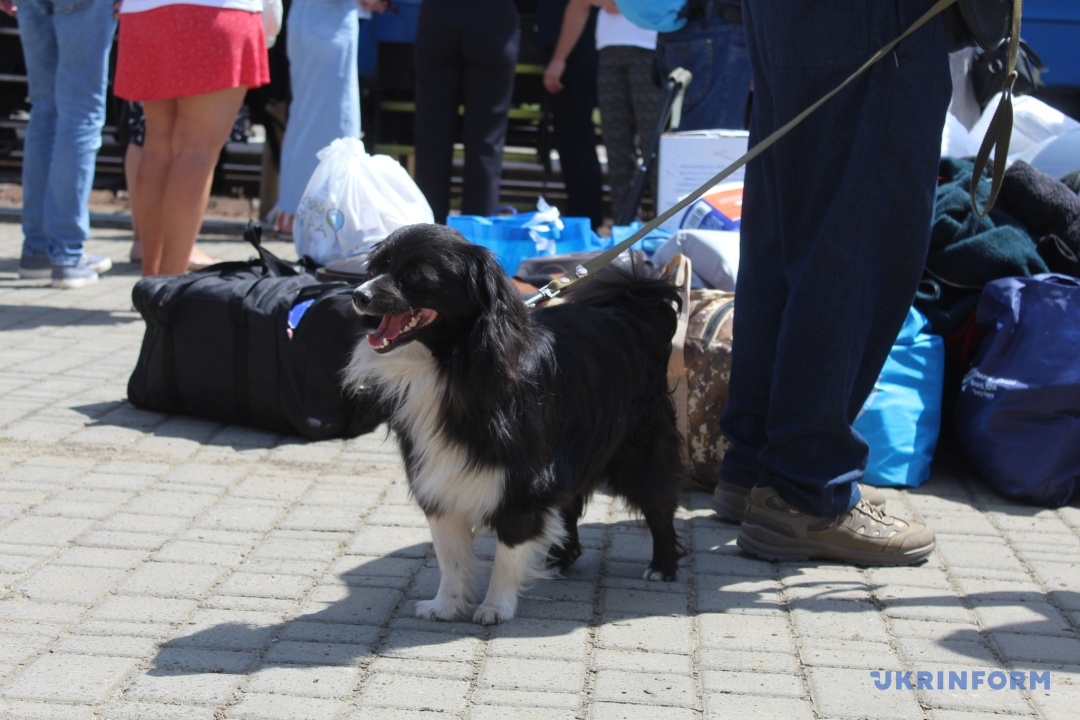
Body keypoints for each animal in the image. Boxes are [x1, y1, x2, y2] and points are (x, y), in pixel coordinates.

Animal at [345, 223, 682, 626]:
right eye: (375, 268)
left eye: (414, 275)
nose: (358, 295)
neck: (453, 366)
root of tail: (636, 312)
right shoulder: (437, 474)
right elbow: (450, 553)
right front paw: (446, 605)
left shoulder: (522, 477)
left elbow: (510, 544)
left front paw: (496, 607)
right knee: (568, 506)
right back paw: (559, 558)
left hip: (641, 450)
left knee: (659, 504)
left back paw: (662, 566)